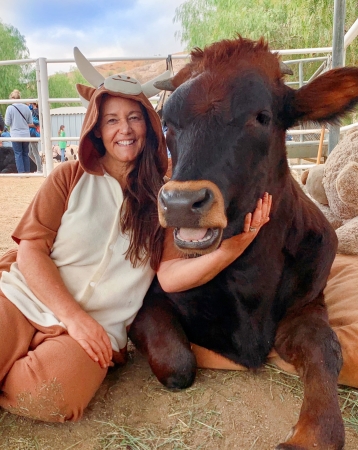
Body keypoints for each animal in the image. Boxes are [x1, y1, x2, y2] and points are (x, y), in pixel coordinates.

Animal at [129, 37, 358, 448]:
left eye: (262, 117)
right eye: (168, 121)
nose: (181, 203)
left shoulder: (309, 302)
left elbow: (325, 347)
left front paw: (314, 432)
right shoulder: (149, 296)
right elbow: (178, 362)